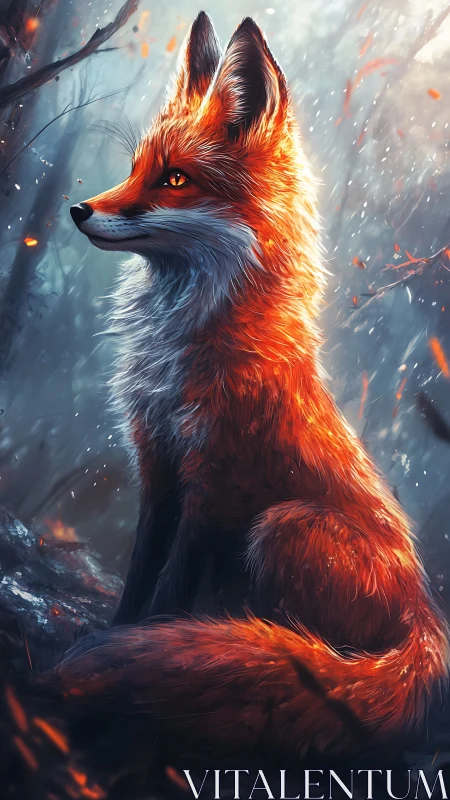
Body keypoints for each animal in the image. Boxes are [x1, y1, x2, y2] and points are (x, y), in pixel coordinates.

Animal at [57, 12, 449, 761]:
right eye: (137, 169)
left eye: (176, 178)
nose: (79, 210)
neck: (180, 356)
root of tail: (429, 620)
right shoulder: (159, 466)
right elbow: (140, 574)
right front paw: (117, 634)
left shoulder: (219, 482)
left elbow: (169, 588)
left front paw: (150, 646)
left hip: (282, 525)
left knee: (316, 655)